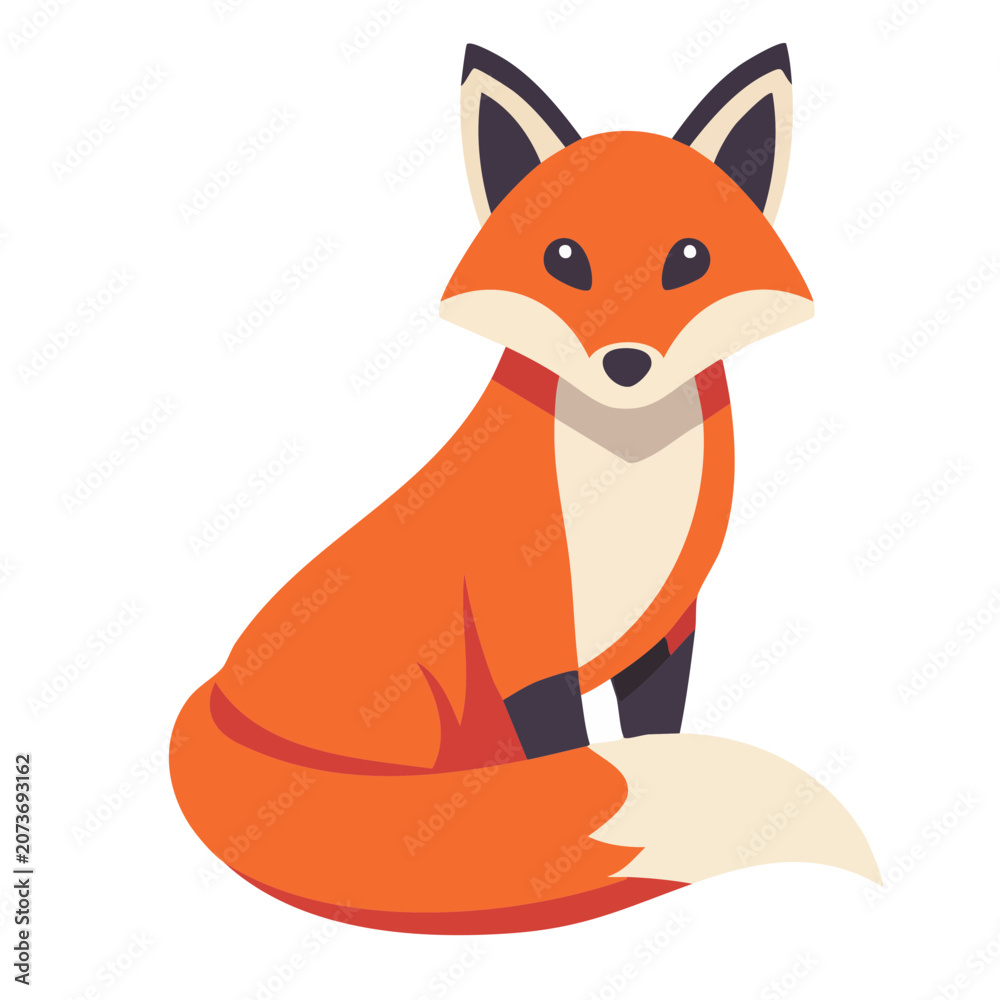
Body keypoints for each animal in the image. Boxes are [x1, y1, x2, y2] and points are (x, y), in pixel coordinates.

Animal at [171, 43, 878, 934]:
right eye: (565, 260)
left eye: (689, 259)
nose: (626, 363)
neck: (623, 481)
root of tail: (216, 699)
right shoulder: (523, 622)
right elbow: (569, 756)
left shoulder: (668, 623)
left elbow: (652, 731)